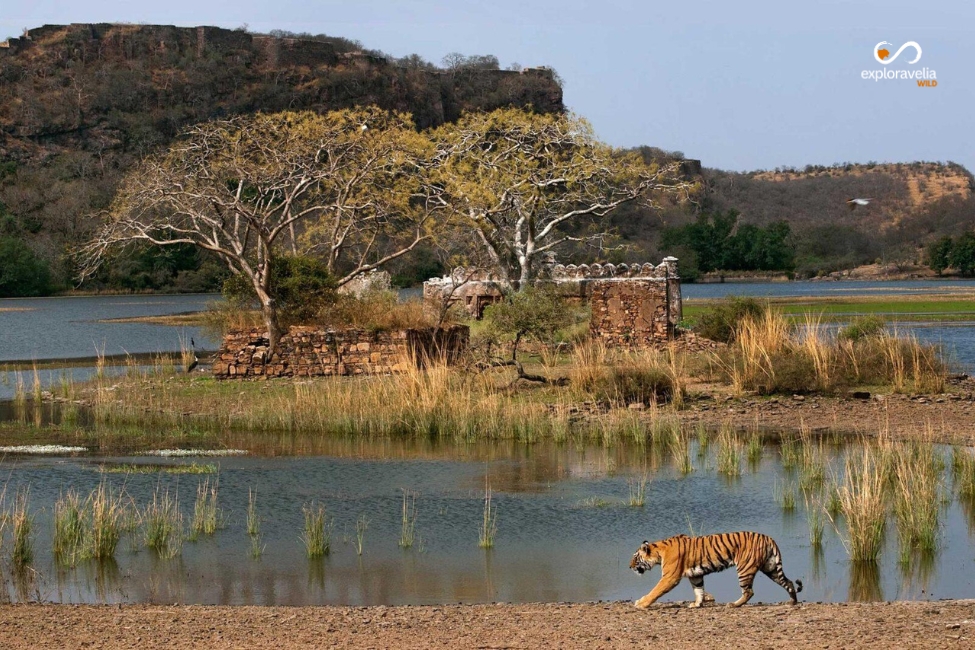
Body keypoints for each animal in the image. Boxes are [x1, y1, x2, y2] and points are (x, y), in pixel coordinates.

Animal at [629, 532, 802, 609]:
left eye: (635, 558)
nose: (629, 567)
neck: (659, 551)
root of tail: (768, 538)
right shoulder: (695, 575)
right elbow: (698, 590)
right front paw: (696, 604)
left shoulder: (669, 577)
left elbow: (655, 591)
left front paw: (641, 603)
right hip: (771, 568)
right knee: (789, 583)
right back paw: (792, 601)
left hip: (745, 569)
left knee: (749, 592)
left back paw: (734, 604)